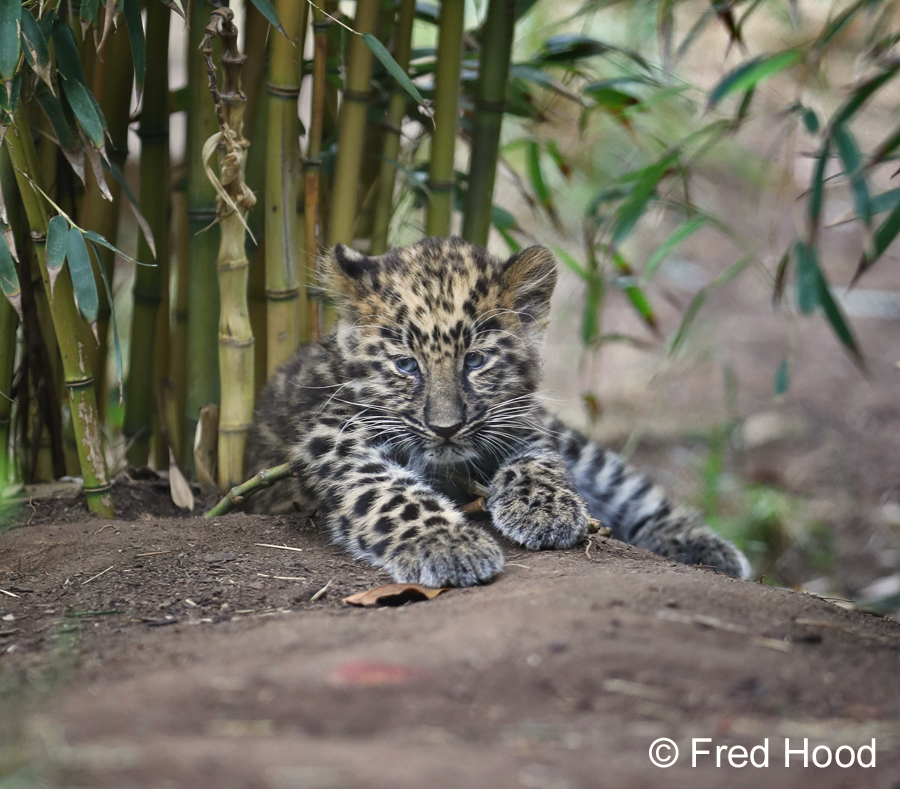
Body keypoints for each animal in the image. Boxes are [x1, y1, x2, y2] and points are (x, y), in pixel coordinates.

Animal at [244, 236, 751, 587]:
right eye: (406, 365)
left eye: (475, 361)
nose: (446, 428)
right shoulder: (333, 437)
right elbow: (391, 493)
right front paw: (448, 543)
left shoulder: (520, 422)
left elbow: (537, 460)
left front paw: (544, 508)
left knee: (628, 487)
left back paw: (708, 547)